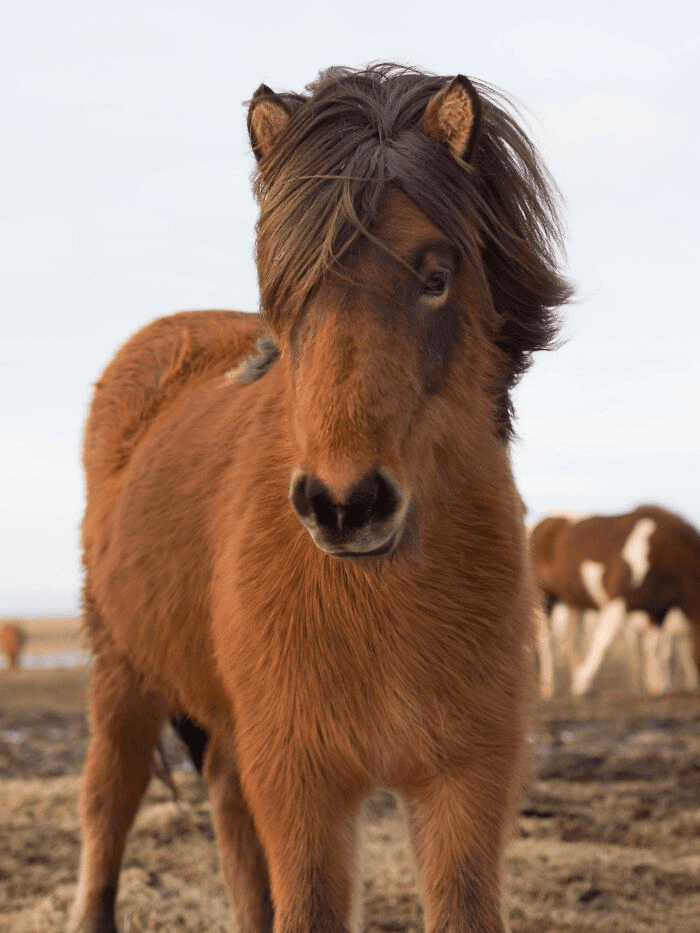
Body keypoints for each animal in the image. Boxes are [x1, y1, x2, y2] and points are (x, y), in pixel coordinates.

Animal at [72, 65, 576, 932]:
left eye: (436, 276)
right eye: (290, 289)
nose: (346, 505)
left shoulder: (466, 783)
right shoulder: (302, 785)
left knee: (228, 809)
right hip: (122, 675)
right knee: (109, 805)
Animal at [532, 506, 700, 696]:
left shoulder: (657, 611)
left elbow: (654, 646)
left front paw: (657, 686)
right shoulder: (619, 600)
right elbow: (602, 640)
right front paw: (581, 682)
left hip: (574, 603)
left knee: (572, 641)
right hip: (543, 596)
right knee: (544, 639)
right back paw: (548, 688)